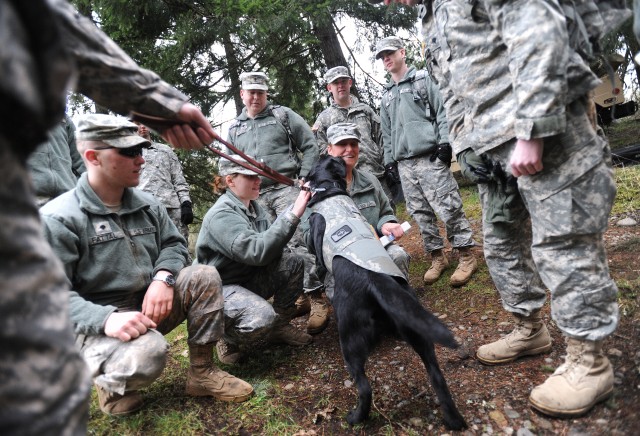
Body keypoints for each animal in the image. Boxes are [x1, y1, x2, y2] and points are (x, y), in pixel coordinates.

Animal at [304, 157, 464, 430]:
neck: (328, 188)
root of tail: (374, 280)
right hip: (417, 332)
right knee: (436, 375)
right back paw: (454, 419)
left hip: (351, 341)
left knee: (364, 386)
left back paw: (356, 417)